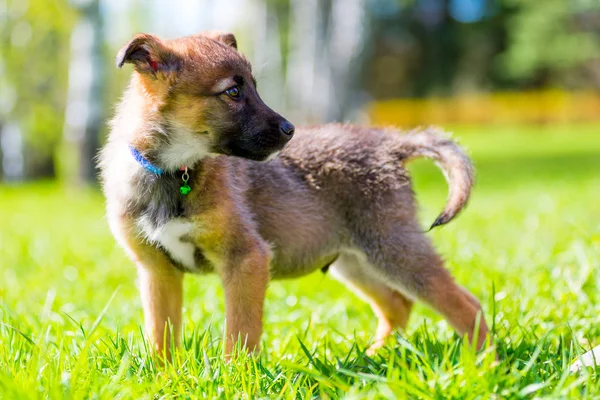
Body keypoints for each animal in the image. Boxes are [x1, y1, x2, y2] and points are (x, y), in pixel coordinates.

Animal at [99, 30, 492, 356]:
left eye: (255, 87)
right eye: (233, 92)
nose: (290, 130)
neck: (173, 172)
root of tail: (391, 144)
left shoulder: (246, 257)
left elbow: (240, 335)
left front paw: (236, 379)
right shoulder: (157, 271)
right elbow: (161, 338)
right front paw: (164, 379)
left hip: (393, 248)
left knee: (466, 306)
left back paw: (483, 365)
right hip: (356, 260)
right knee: (399, 305)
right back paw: (375, 357)